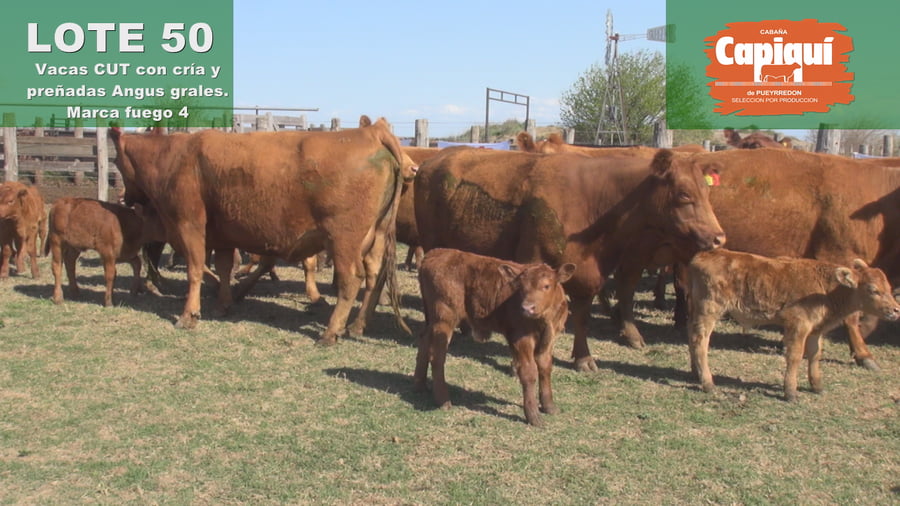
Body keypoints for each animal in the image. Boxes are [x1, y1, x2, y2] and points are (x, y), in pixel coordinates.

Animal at [110, 116, 415, 343]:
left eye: (115, 162)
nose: (125, 196)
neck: (172, 156)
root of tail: (371, 133)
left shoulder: (189, 223)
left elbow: (195, 269)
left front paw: (189, 315)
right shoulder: (223, 233)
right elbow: (223, 267)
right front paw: (224, 303)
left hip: (343, 239)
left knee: (351, 279)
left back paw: (330, 332)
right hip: (375, 236)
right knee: (374, 277)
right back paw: (357, 325)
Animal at [415, 146, 726, 371]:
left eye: (707, 190)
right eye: (684, 194)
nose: (718, 238)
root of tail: (434, 160)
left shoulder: (587, 277)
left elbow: (582, 319)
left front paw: (583, 358)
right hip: (431, 246)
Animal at [415, 248, 575, 426]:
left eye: (546, 286)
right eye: (520, 287)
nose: (527, 308)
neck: (544, 322)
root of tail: (435, 253)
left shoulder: (550, 338)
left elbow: (545, 366)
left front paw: (549, 406)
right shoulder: (520, 338)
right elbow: (529, 371)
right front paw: (533, 415)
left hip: (433, 320)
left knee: (424, 340)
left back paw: (419, 385)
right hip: (444, 317)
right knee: (437, 355)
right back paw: (443, 400)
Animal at [687, 249, 900, 401]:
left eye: (889, 288)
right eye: (873, 289)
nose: (896, 309)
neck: (826, 290)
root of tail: (702, 256)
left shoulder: (815, 330)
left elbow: (815, 355)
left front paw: (817, 386)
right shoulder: (798, 326)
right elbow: (795, 356)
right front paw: (790, 392)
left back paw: (695, 373)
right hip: (710, 310)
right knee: (700, 341)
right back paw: (708, 383)